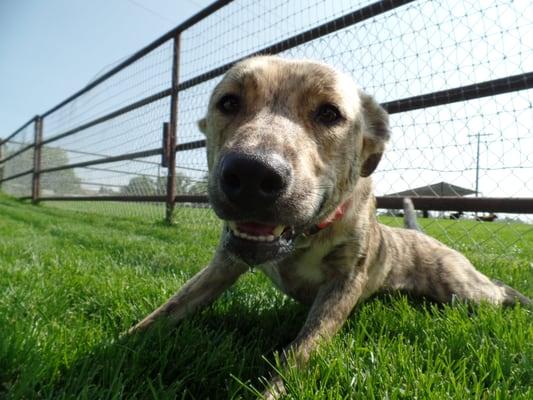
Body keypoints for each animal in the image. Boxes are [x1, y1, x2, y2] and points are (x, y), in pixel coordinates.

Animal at [131, 55, 528, 396]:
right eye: (228, 103)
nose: (251, 173)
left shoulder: (344, 282)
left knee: (497, 290)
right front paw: (127, 345)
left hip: (463, 289)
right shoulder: (222, 265)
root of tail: (419, 235)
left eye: (329, 113)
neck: (305, 237)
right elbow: (165, 312)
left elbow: (301, 350)